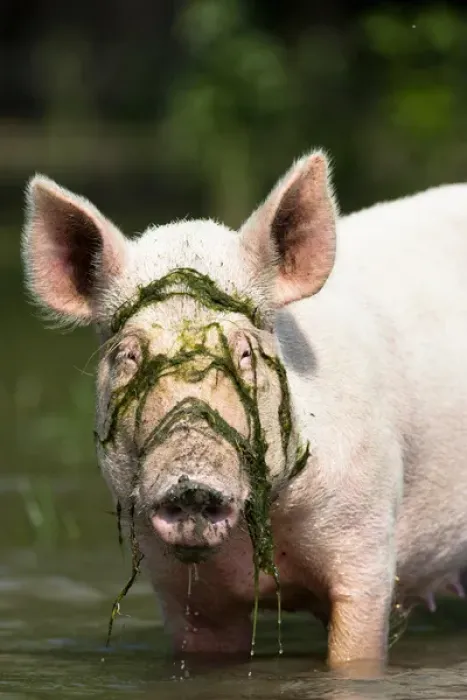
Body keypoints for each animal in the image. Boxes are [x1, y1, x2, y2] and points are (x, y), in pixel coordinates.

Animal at [21, 150, 467, 674]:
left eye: (245, 352)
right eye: (129, 355)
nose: (190, 485)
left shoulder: (369, 542)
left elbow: (354, 649)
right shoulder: (181, 591)